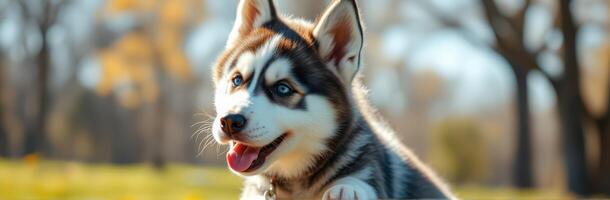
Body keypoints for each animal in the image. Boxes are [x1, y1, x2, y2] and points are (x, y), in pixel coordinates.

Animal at [209, 0, 452, 198]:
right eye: (237, 80)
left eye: (283, 89)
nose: (229, 121)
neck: (296, 182)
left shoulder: (370, 171)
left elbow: (358, 183)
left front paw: (347, 189)